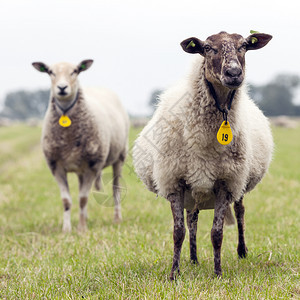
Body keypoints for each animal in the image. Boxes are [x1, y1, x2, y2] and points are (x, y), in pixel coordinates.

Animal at [32, 59, 129, 232]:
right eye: (50, 72)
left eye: (75, 71)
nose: (62, 88)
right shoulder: (56, 166)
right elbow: (67, 200)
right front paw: (67, 230)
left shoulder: (92, 165)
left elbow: (83, 198)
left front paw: (82, 229)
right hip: (80, 167)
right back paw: (86, 217)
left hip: (120, 156)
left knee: (116, 189)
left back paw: (117, 219)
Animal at [132, 31, 274, 278]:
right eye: (208, 48)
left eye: (244, 46)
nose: (234, 73)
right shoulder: (175, 181)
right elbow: (178, 232)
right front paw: (174, 274)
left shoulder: (226, 182)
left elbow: (217, 233)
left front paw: (217, 273)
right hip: (194, 187)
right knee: (192, 219)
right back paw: (193, 258)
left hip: (238, 181)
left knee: (240, 211)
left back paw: (241, 251)